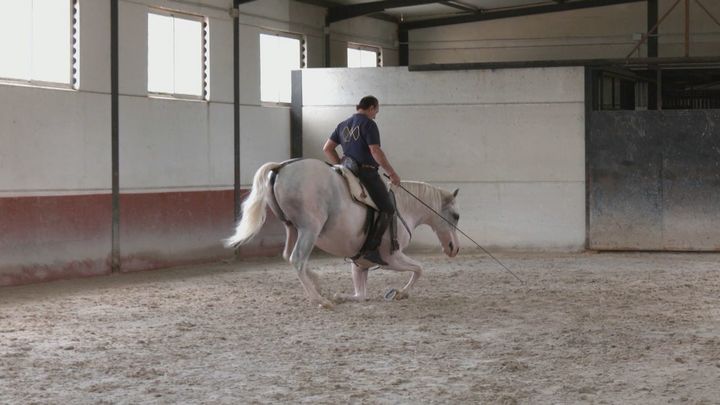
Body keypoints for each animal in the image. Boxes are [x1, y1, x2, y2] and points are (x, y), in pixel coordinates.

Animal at [225, 158, 460, 308]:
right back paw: (320, 300)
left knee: (288, 255)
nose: (454, 248)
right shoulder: (392, 258)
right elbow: (419, 269)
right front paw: (402, 293)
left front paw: (341, 296)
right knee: (297, 259)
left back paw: (318, 283)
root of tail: (282, 167)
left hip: (292, 228)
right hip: (310, 229)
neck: (403, 208)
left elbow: (360, 294)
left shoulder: (360, 263)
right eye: (456, 216)